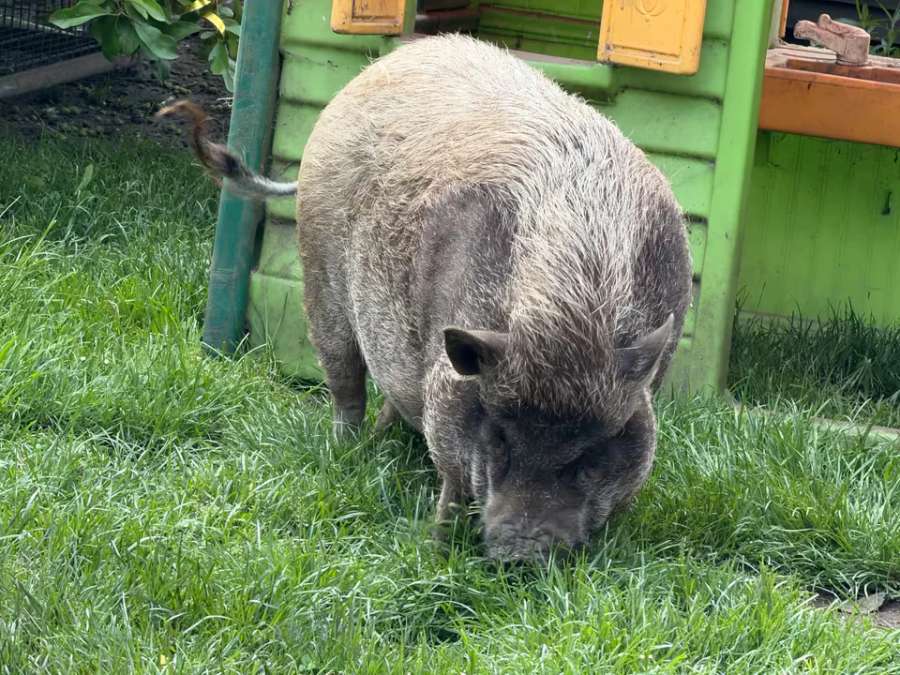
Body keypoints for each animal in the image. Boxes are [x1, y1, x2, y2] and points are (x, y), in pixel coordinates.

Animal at [160, 33, 692, 561]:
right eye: (499, 438)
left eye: (590, 454)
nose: (519, 553)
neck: (573, 311)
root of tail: (366, 78)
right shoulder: (449, 383)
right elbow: (453, 480)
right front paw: (436, 548)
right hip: (319, 275)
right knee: (345, 382)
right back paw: (348, 453)